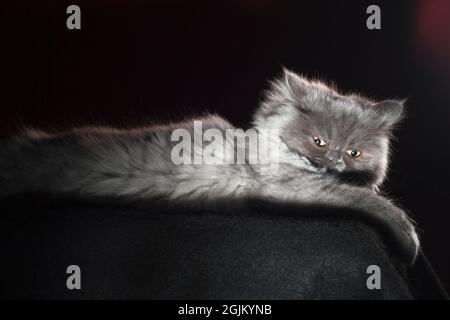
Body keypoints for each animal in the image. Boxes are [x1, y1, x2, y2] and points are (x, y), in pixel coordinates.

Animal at [1, 70, 420, 262]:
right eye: (318, 142)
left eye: (354, 153)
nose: (331, 162)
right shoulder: (288, 188)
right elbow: (370, 202)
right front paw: (408, 240)